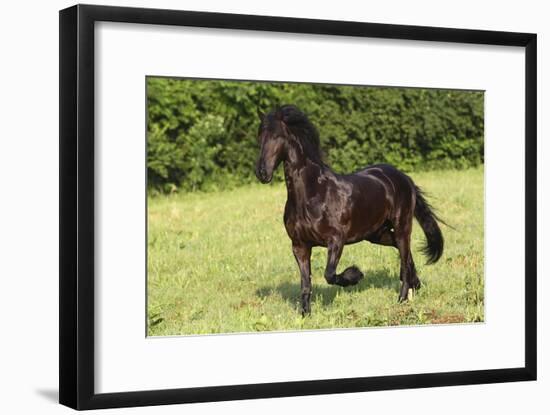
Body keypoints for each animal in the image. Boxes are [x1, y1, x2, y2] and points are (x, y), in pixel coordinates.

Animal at [256, 104, 446, 316]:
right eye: (260, 136)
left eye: (277, 136)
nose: (262, 173)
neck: (312, 194)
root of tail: (404, 178)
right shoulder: (299, 245)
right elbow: (306, 284)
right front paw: (305, 314)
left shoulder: (336, 240)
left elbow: (329, 274)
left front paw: (356, 275)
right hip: (376, 234)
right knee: (403, 252)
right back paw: (415, 284)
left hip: (402, 226)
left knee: (404, 259)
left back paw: (403, 298)